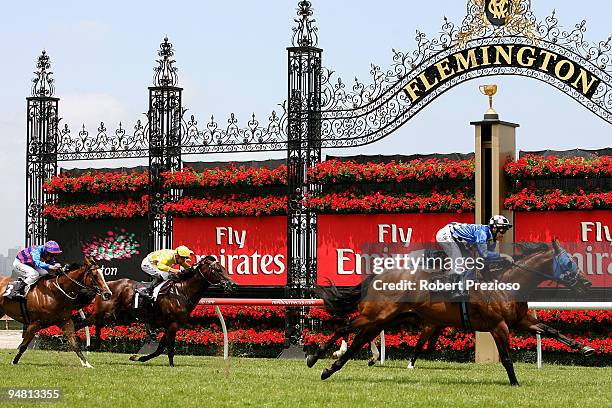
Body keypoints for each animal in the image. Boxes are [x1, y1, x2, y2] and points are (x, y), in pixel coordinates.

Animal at [72, 255, 234, 366]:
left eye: (224, 268)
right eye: (217, 269)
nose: (232, 285)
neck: (181, 291)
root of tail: (104, 287)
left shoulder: (170, 325)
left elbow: (160, 348)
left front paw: (139, 357)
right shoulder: (173, 324)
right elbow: (169, 348)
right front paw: (171, 365)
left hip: (111, 315)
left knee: (95, 326)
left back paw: (93, 345)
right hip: (102, 313)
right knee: (80, 323)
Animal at [310, 239, 592, 386]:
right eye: (569, 262)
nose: (587, 284)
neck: (506, 284)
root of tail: (378, 275)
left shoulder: (520, 320)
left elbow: (551, 330)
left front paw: (585, 348)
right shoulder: (498, 325)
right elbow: (507, 358)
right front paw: (515, 383)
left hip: (383, 319)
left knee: (358, 340)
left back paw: (329, 369)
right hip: (376, 315)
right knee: (345, 327)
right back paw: (315, 358)